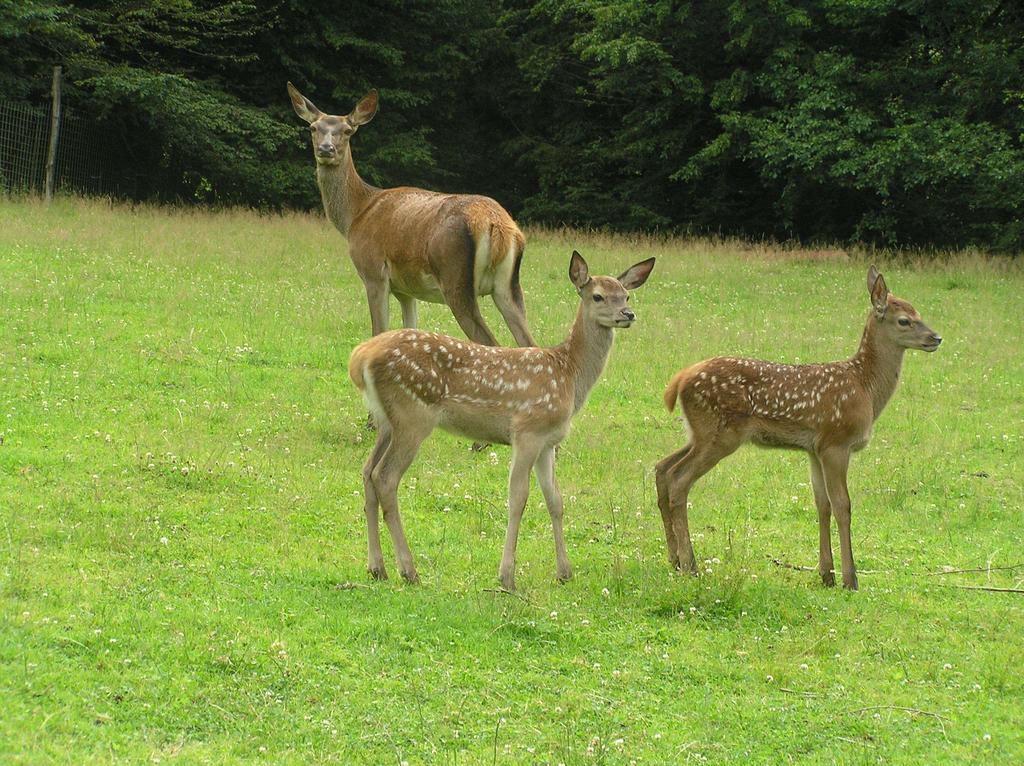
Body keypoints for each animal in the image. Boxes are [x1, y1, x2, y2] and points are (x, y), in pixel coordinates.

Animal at [286, 82, 536, 346]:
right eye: (313, 127)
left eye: (347, 130)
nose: (326, 149)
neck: (356, 215)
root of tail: (497, 224)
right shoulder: (406, 290)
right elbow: (410, 328)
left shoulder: (373, 271)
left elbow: (379, 331)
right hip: (508, 286)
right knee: (529, 343)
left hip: (455, 277)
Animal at [352, 248, 655, 589]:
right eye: (598, 296)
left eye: (626, 294)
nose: (627, 314)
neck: (569, 375)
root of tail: (360, 357)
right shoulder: (527, 431)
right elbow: (518, 498)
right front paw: (506, 576)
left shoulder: (548, 442)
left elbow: (556, 500)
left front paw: (564, 572)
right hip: (412, 416)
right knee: (385, 477)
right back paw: (408, 570)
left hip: (387, 421)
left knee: (367, 471)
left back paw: (377, 567)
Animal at [659, 266, 937, 589]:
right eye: (904, 319)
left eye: (919, 312)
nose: (936, 338)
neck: (865, 388)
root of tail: (680, 378)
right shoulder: (836, 442)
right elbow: (843, 505)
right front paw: (850, 578)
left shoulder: (815, 449)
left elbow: (822, 504)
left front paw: (827, 574)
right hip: (720, 434)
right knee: (678, 479)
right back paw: (690, 565)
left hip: (699, 432)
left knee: (661, 468)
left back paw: (675, 560)